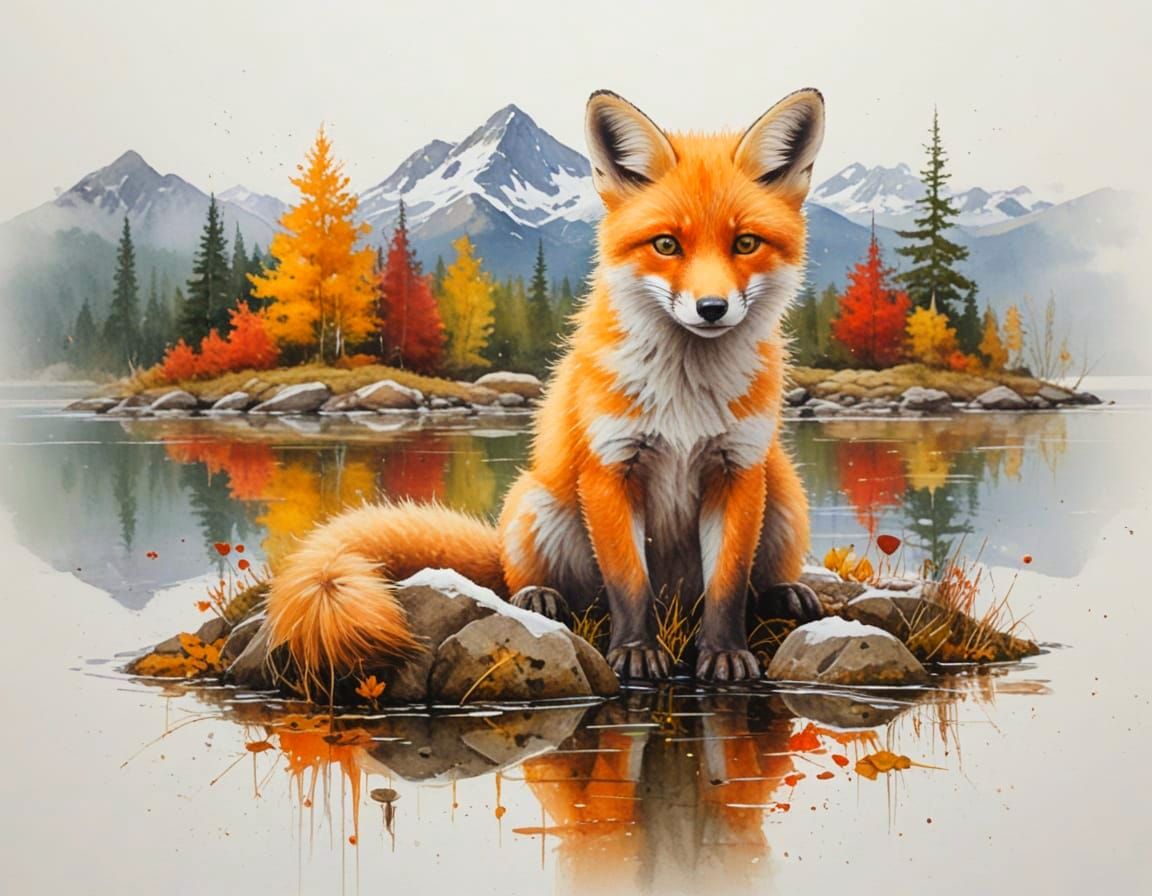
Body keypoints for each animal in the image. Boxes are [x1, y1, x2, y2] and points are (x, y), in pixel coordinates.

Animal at [265, 88, 827, 686]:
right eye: (666, 244)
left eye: (745, 243)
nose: (712, 308)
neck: (685, 397)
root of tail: (677, 599)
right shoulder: (609, 467)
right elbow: (628, 583)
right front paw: (635, 652)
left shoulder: (736, 469)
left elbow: (727, 585)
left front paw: (723, 654)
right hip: (534, 502)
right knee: (546, 588)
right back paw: (540, 596)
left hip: (783, 490)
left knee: (746, 584)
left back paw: (785, 593)